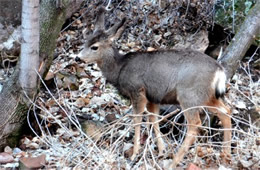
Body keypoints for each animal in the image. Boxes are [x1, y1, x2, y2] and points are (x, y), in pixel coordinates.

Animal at [76, 7, 232, 167]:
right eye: (85, 42)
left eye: (94, 47)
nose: (77, 58)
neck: (119, 69)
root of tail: (219, 70)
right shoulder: (153, 96)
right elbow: (153, 119)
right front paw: (162, 150)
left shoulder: (137, 90)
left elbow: (137, 120)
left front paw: (135, 154)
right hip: (207, 95)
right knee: (226, 111)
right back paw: (226, 155)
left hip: (189, 94)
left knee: (195, 125)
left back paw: (174, 163)